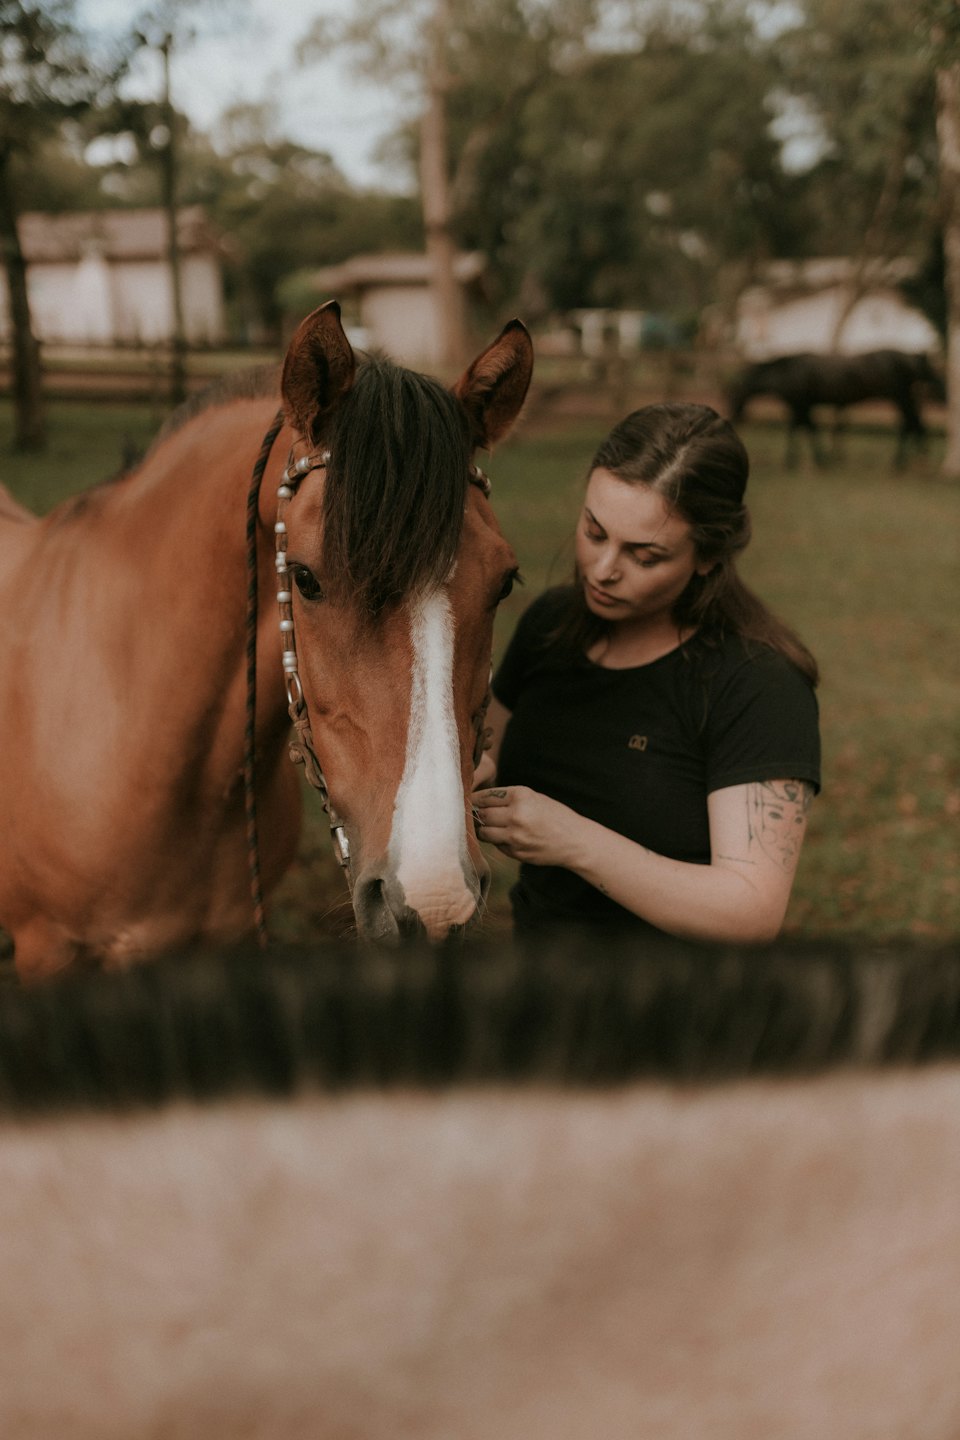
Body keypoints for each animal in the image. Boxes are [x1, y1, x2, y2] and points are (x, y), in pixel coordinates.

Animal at [726, 349, 945, 469]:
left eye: (733, 395)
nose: (734, 417)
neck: (786, 371)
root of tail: (913, 358)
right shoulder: (800, 407)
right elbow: (800, 428)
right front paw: (799, 460)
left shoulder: (801, 405)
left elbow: (807, 429)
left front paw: (814, 459)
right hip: (904, 398)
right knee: (914, 422)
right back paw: (915, 458)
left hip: (899, 397)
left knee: (909, 423)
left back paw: (903, 461)